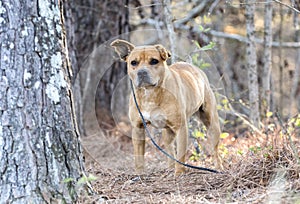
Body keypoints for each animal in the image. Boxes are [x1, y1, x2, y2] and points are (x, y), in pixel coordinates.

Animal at [110, 39, 223, 175]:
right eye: (133, 63)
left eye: (154, 61)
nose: (142, 72)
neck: (150, 93)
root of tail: (195, 69)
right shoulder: (138, 128)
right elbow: (139, 156)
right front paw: (139, 173)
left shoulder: (181, 128)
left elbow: (181, 155)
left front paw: (179, 173)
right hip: (167, 133)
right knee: (170, 150)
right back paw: (169, 168)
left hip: (212, 125)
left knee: (215, 150)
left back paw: (218, 167)